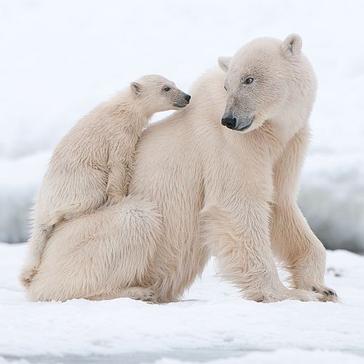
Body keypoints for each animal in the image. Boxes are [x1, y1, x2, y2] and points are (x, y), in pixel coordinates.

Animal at [27, 34, 336, 302]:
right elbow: (237, 205)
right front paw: (289, 293)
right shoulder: (230, 146)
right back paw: (135, 290)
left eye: (249, 79)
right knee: (134, 219)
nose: (230, 119)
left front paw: (321, 287)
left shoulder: (287, 147)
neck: (270, 131)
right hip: (83, 237)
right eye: (228, 85)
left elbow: (281, 205)